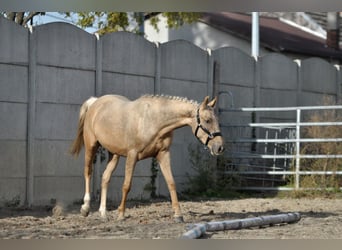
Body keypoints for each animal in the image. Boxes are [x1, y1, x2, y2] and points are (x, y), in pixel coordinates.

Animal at [69, 94, 224, 222]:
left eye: (217, 120)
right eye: (207, 120)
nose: (220, 147)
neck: (153, 120)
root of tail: (95, 102)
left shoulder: (163, 154)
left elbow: (171, 183)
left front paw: (178, 215)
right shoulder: (132, 155)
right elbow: (126, 185)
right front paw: (121, 214)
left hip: (114, 154)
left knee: (105, 178)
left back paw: (103, 213)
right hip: (91, 146)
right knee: (88, 172)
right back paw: (85, 208)